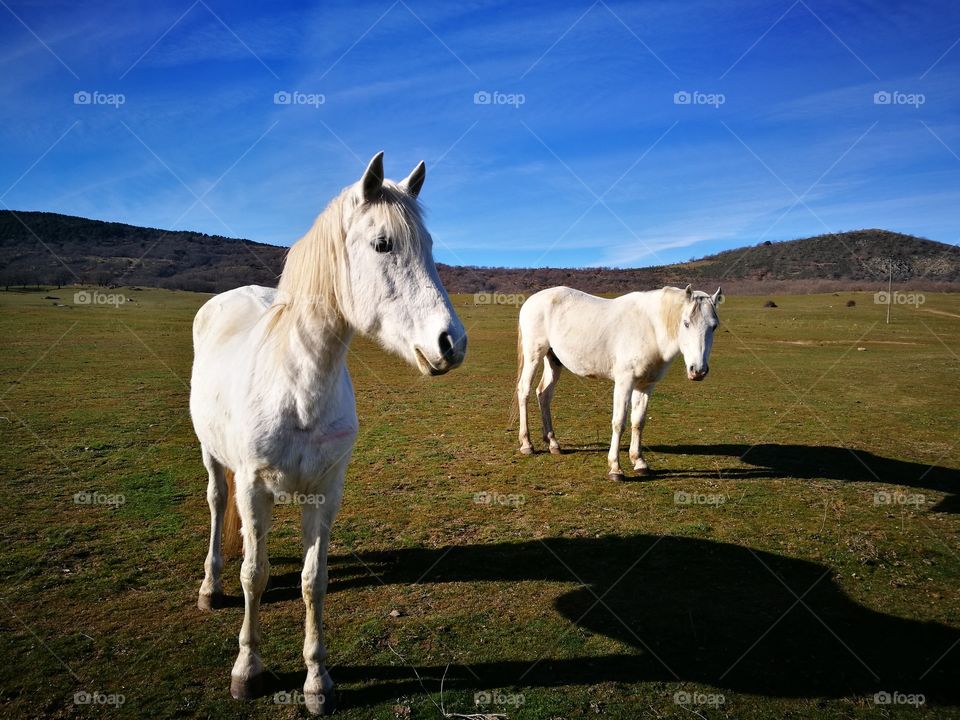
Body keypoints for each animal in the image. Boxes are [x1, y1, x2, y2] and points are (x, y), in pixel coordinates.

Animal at [189, 152, 466, 714]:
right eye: (382, 244)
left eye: (429, 246)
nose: (452, 342)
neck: (298, 382)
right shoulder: (253, 487)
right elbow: (254, 575)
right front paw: (247, 670)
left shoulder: (326, 491)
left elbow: (312, 582)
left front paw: (317, 681)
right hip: (213, 457)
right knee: (216, 505)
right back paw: (210, 585)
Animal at [515, 284, 721, 479]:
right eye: (686, 323)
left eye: (714, 326)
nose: (698, 370)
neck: (651, 328)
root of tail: (532, 300)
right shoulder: (624, 382)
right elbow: (619, 422)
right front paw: (615, 468)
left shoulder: (646, 386)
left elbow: (638, 421)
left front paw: (639, 462)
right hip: (534, 355)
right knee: (524, 391)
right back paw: (527, 444)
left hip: (553, 360)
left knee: (544, 394)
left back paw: (553, 443)